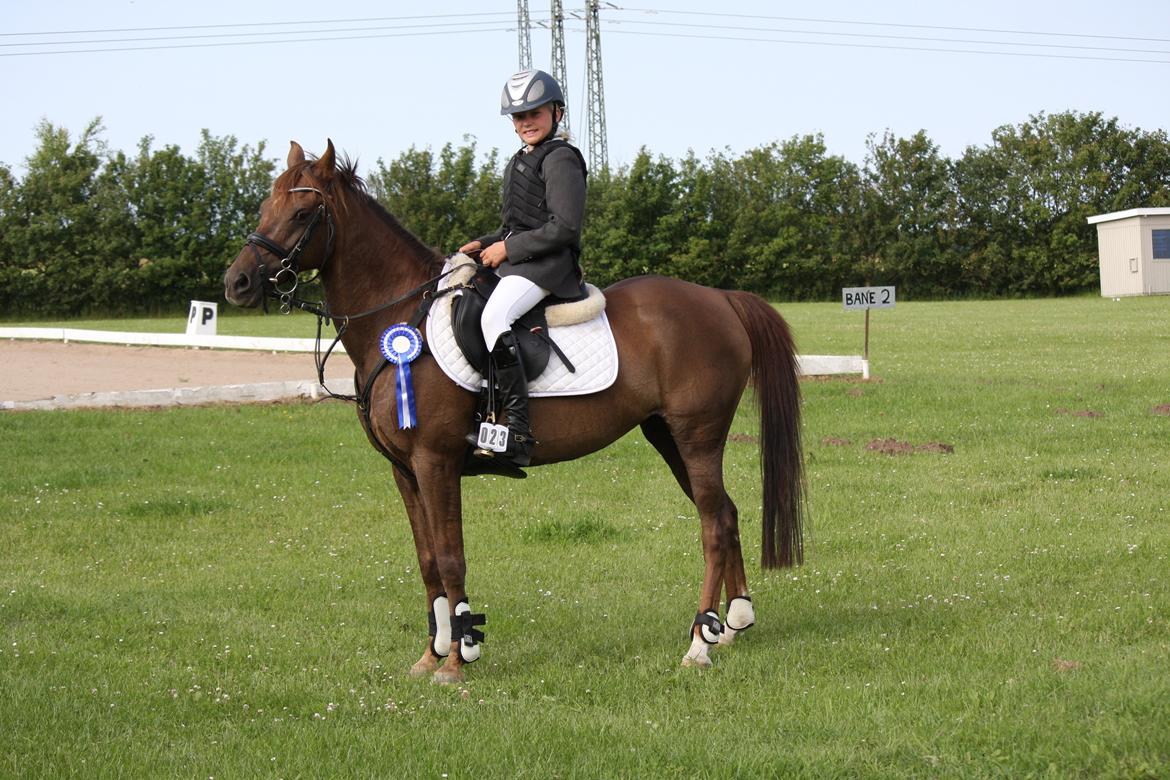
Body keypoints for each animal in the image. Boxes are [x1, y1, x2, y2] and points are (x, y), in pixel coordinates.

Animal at [224, 140, 804, 684]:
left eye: (302, 214)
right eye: (265, 206)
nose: (237, 284)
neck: (401, 313)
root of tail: (720, 299)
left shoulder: (435, 462)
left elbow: (450, 556)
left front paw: (458, 659)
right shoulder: (404, 471)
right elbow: (427, 561)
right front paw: (430, 654)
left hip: (696, 435)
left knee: (712, 523)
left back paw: (698, 645)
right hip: (667, 437)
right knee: (725, 513)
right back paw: (733, 624)